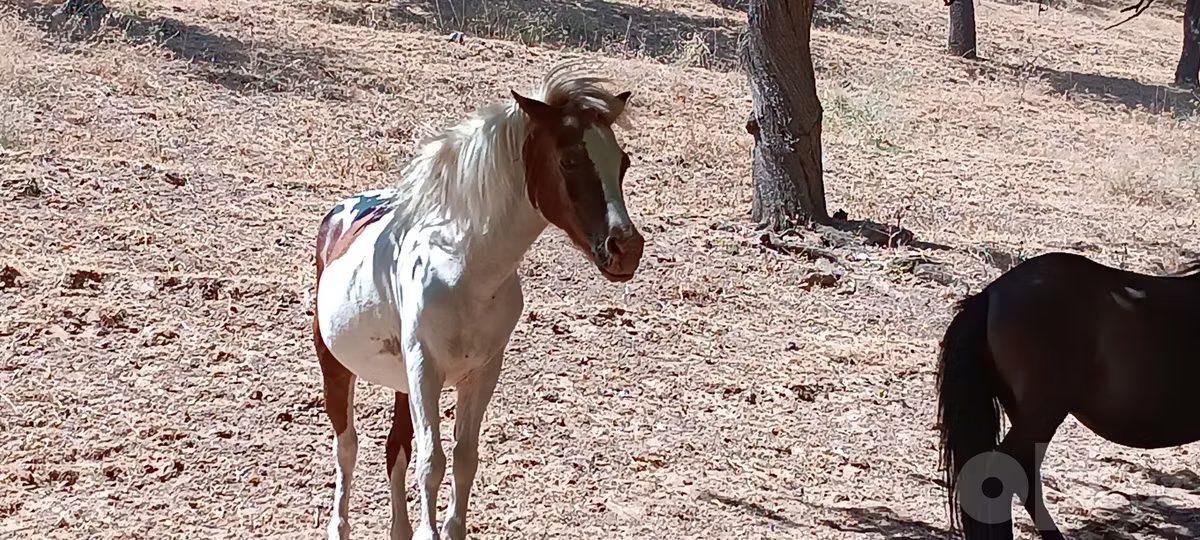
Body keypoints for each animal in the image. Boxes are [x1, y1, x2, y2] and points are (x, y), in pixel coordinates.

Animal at [310, 61, 644, 540]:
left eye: (623, 163)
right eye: (567, 159)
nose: (626, 249)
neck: (462, 267)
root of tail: (340, 215)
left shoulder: (482, 372)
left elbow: (464, 458)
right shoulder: (426, 368)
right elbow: (432, 462)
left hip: (400, 381)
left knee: (395, 447)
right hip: (337, 364)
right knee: (347, 447)